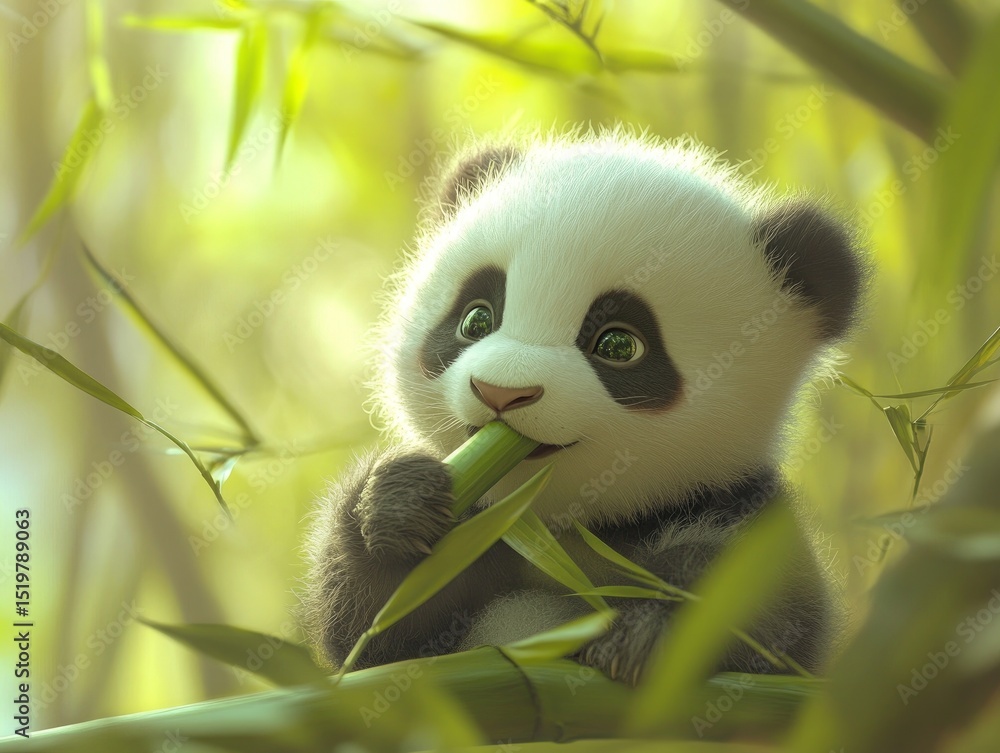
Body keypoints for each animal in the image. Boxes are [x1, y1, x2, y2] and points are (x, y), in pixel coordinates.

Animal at [302, 129, 864, 684]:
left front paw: (643, 633)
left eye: (618, 345)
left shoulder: (738, 508)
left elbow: (769, 612)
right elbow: (375, 638)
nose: (501, 393)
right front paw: (398, 505)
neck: (568, 525)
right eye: (476, 319)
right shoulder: (487, 530)